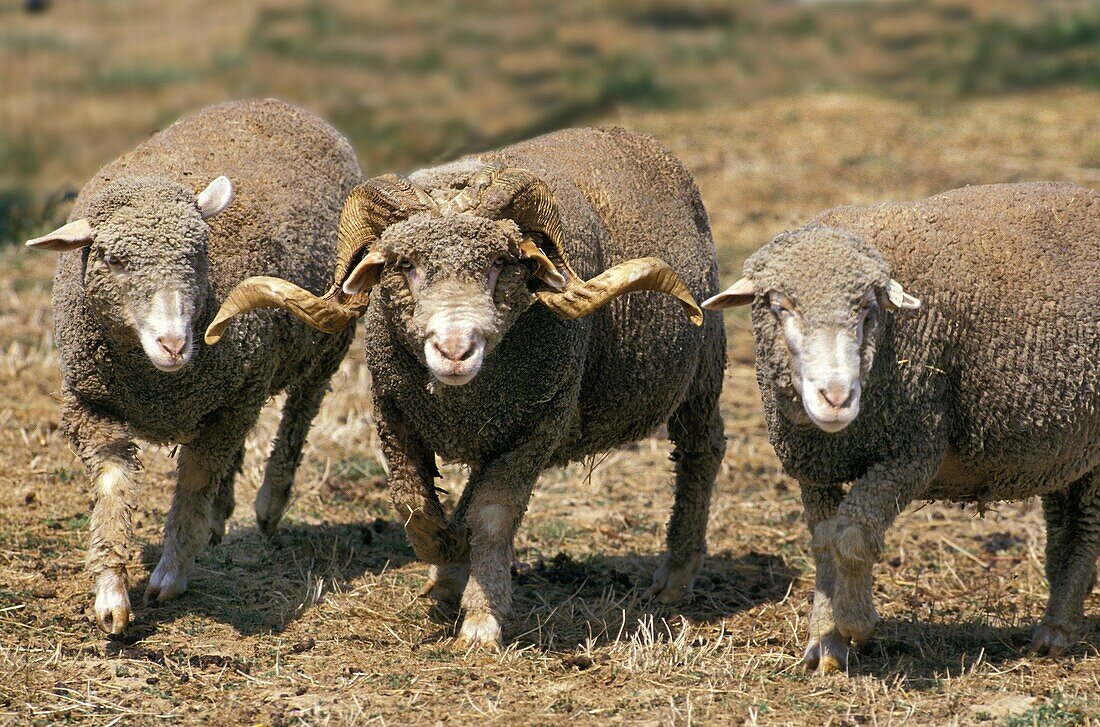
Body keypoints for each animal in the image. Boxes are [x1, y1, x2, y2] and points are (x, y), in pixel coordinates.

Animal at [24, 98, 360, 633]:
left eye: (200, 251)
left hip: (323, 342)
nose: (174, 343)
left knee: (300, 413)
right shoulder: (91, 407)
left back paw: (270, 502)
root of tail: (284, 105)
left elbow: (194, 485)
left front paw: (172, 573)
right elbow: (114, 488)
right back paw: (222, 516)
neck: (158, 387)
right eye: (113, 260)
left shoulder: (230, 401)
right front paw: (112, 597)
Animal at [205, 125, 726, 646]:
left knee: (701, 455)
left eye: (501, 262)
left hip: (702, 375)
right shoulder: (394, 416)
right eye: (404, 264)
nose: (455, 350)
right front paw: (445, 554)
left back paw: (677, 575)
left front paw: (481, 616)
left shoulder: (539, 425)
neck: (459, 403)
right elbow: (414, 504)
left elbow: (493, 517)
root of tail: (629, 135)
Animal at [704, 182, 1100, 673]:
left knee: (1085, 530)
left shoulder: (912, 451)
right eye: (780, 306)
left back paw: (1057, 633)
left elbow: (853, 536)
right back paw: (1055, 624)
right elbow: (824, 545)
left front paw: (856, 624)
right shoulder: (815, 469)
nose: (837, 398)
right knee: (1066, 528)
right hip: (1066, 449)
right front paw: (824, 644)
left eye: (867, 309)